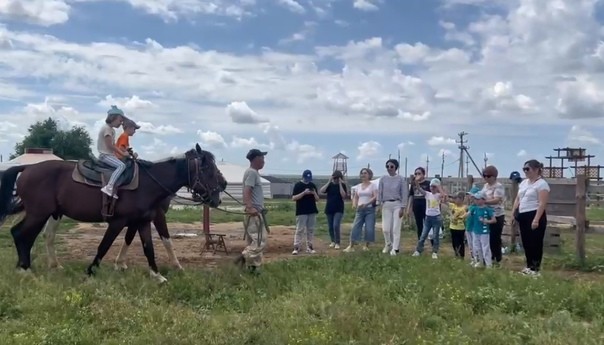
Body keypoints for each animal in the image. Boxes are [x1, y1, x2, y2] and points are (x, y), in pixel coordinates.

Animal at [0, 144, 224, 280]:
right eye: (207, 168)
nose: (223, 185)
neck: (148, 183)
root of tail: (27, 168)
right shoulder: (119, 221)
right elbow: (104, 246)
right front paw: (91, 271)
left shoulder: (142, 221)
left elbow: (148, 248)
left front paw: (157, 275)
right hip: (39, 214)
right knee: (21, 234)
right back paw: (25, 270)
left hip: (47, 213)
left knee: (30, 236)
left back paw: (32, 267)